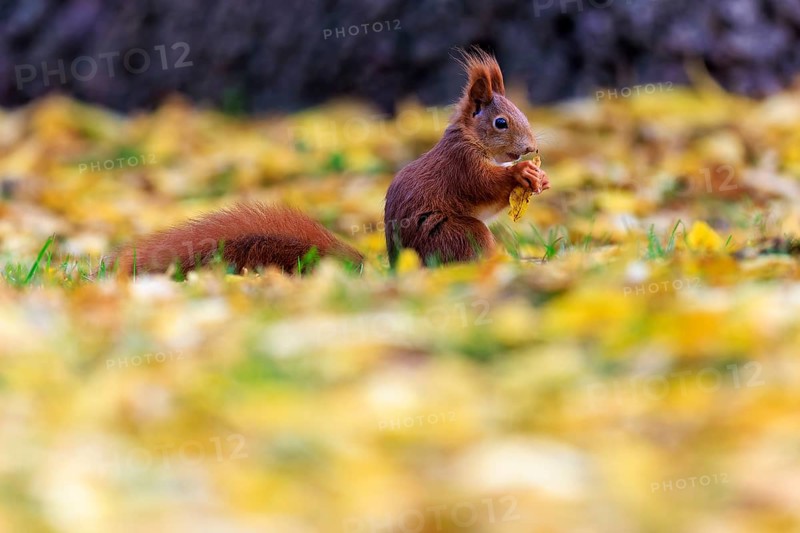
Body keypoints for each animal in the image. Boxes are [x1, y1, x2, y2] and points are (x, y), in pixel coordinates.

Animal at [111, 48, 549, 275]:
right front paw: (521, 174)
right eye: (501, 122)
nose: (529, 148)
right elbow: (484, 187)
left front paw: (539, 179)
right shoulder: (461, 165)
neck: (471, 139)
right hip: (460, 235)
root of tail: (397, 270)